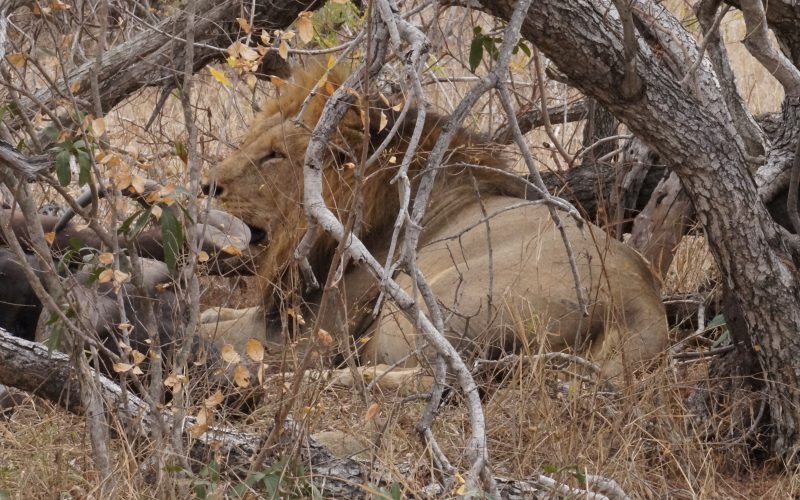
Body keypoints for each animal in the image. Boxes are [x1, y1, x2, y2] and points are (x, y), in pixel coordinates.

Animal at [200, 65, 668, 378]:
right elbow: (214, 313)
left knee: (433, 378)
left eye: (275, 155)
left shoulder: (311, 330)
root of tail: (642, 309)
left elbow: (222, 331)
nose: (206, 186)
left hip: (421, 310)